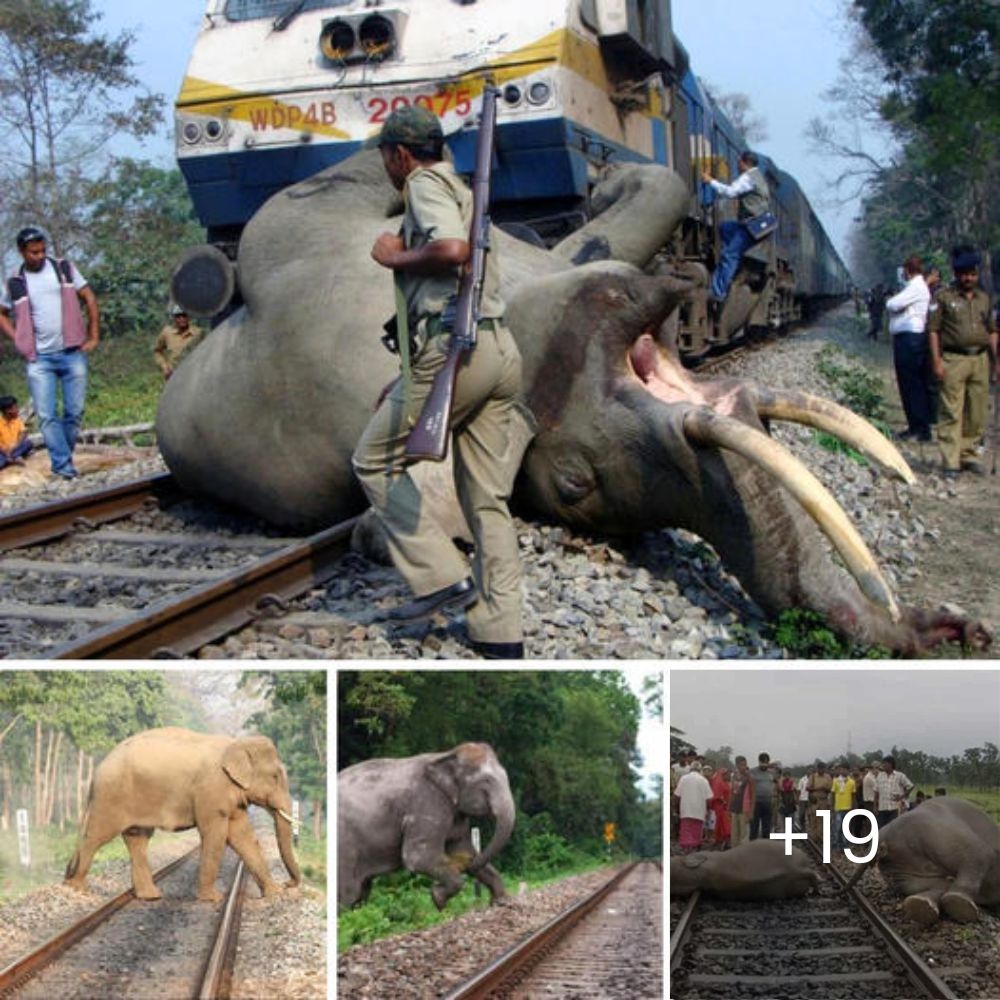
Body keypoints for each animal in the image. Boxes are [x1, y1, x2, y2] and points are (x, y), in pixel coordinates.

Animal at [65, 732, 300, 904]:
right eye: (275, 776)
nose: (288, 883)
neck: (236, 743)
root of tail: (97, 771)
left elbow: (242, 836)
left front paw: (274, 894)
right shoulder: (211, 790)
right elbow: (215, 835)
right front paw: (212, 898)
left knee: (137, 840)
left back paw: (150, 896)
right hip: (111, 796)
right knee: (97, 836)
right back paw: (76, 888)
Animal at [342, 740, 516, 912]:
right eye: (486, 781)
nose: (467, 866)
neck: (446, 754)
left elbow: (461, 849)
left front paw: (503, 902)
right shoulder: (427, 803)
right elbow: (418, 857)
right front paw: (438, 899)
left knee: (361, 893)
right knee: (348, 893)